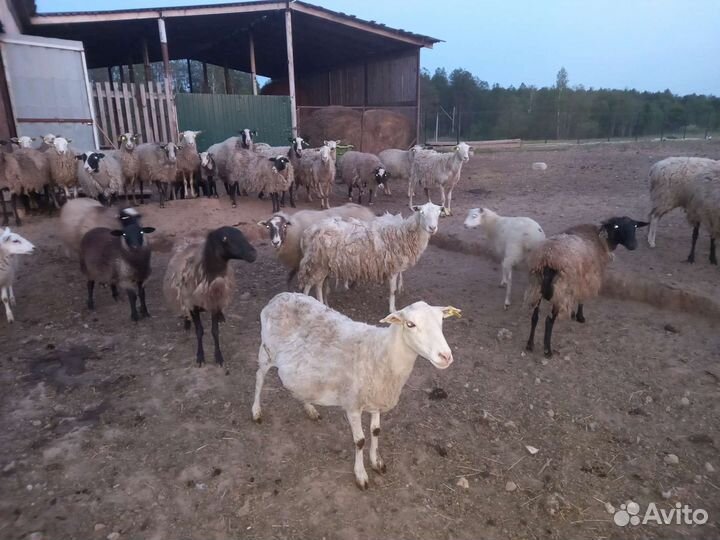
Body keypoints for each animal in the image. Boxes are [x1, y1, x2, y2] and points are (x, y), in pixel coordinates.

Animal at [163, 226, 257, 366]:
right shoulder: (192, 304)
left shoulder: (214, 301)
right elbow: (199, 331)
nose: (253, 254)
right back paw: (186, 322)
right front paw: (200, 356)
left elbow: (215, 331)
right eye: (224, 239)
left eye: (243, 235)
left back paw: (221, 316)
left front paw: (218, 356)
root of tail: (192, 232)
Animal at [251, 292, 461, 489]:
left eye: (441, 321)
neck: (380, 352)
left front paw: (376, 462)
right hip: (266, 351)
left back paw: (309, 408)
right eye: (410, 324)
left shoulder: (376, 398)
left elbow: (376, 431)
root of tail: (280, 296)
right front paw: (361, 474)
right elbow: (360, 441)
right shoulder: (352, 404)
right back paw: (256, 411)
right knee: (259, 378)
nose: (446, 356)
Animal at [298, 202, 443, 312]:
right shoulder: (393, 268)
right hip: (317, 262)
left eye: (438, 213)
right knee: (309, 285)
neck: (404, 234)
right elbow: (393, 290)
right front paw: (392, 309)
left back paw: (322, 304)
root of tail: (309, 231)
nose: (432, 228)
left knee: (318, 284)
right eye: (422, 212)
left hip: (323, 264)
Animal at [524, 216, 648, 357]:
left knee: (535, 317)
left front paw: (573, 314)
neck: (601, 240)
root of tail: (547, 258)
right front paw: (580, 317)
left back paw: (530, 344)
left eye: (635, 226)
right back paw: (548, 350)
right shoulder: (586, 279)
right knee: (549, 321)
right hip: (561, 290)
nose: (633, 245)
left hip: (536, 287)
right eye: (617, 226)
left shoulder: (577, 282)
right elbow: (582, 300)